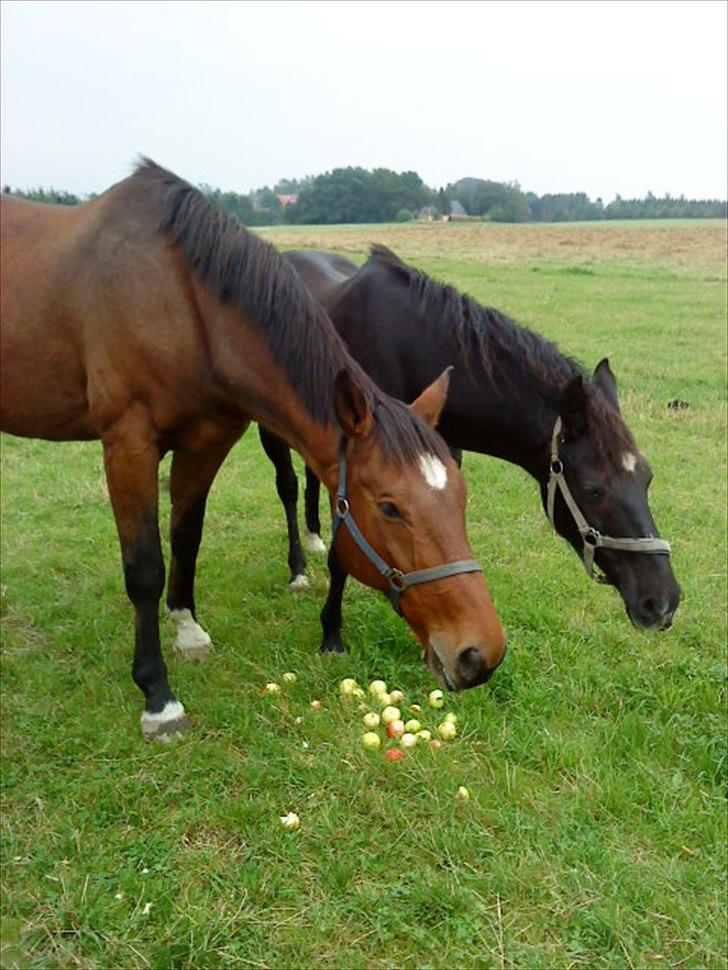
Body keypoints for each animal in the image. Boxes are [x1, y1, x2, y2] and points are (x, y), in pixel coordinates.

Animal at [0, 168, 506, 740]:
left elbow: (186, 536)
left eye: (461, 496)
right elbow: (145, 566)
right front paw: (158, 695)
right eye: (390, 508)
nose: (480, 653)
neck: (181, 303)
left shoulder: (208, 440)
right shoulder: (128, 443)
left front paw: (187, 629)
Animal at [264, 242, 684, 644]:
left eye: (646, 479)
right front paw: (331, 632)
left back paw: (314, 536)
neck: (409, 348)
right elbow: (342, 553)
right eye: (594, 490)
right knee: (288, 487)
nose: (662, 602)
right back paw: (298, 568)